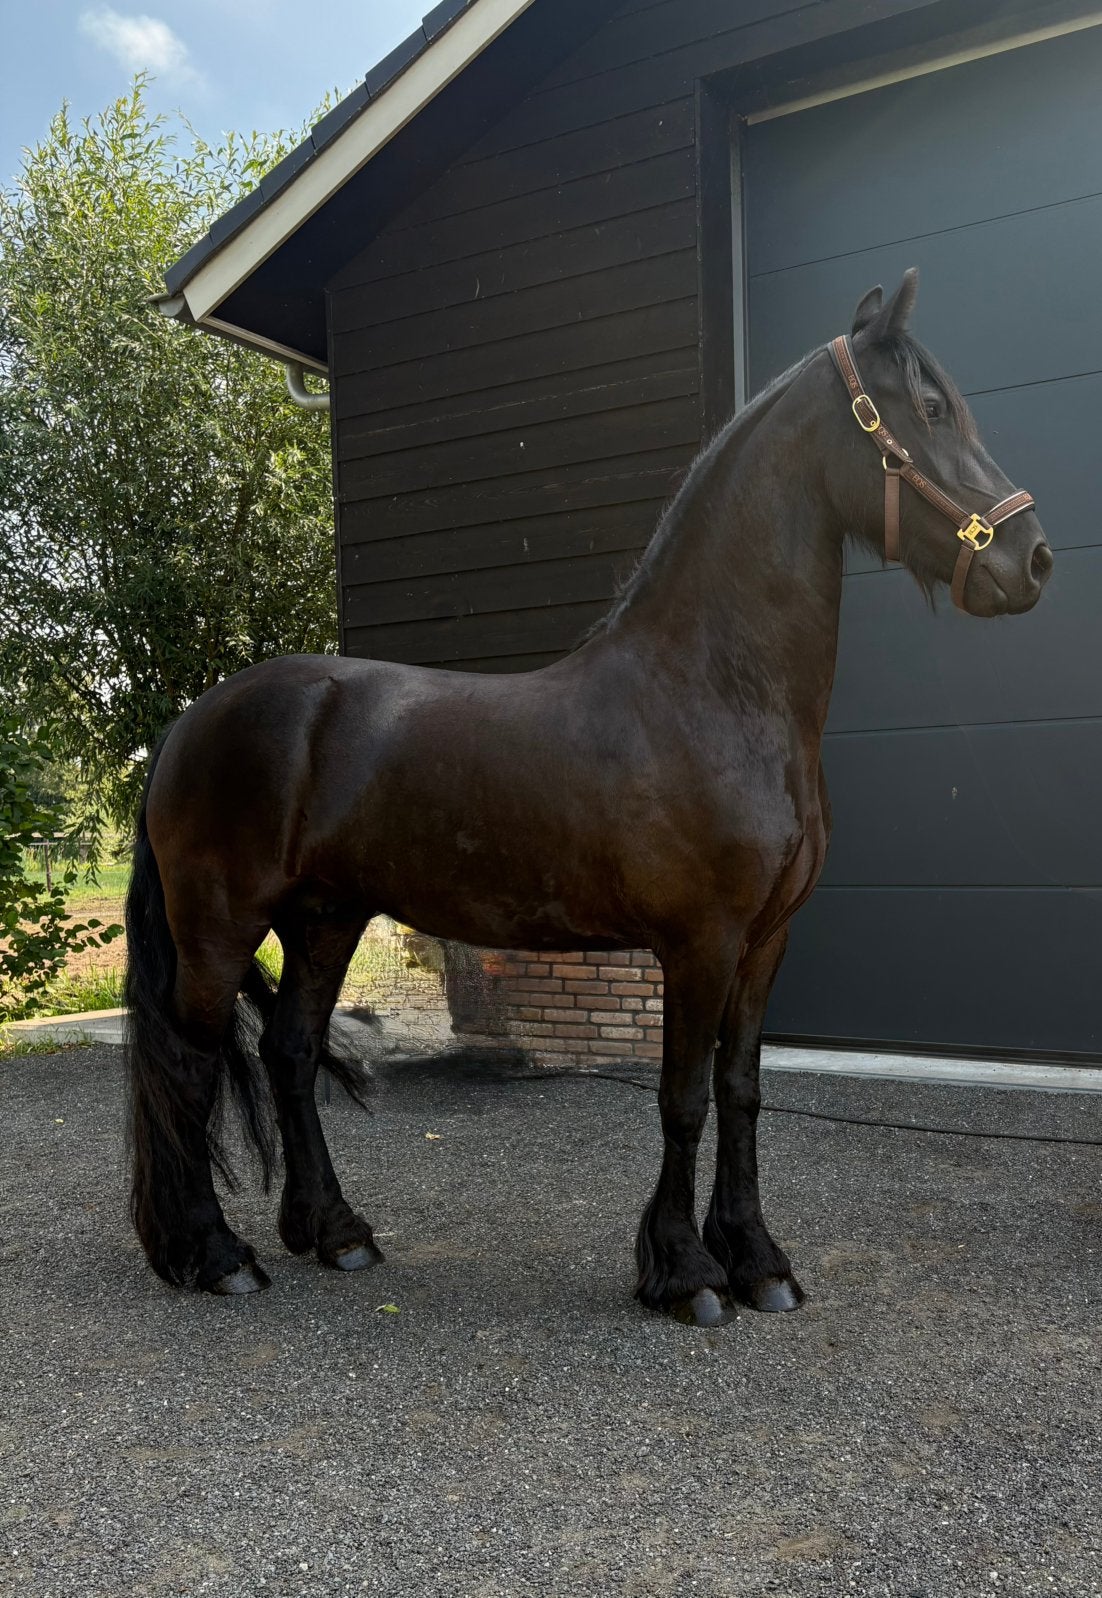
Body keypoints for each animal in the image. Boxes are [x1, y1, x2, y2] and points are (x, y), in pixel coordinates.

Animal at [125, 270, 1052, 1323]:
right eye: (929, 409)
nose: (1031, 557)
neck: (713, 689)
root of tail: (190, 723)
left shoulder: (766, 940)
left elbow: (741, 1092)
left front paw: (760, 1262)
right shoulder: (701, 940)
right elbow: (682, 1098)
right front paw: (687, 1274)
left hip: (325, 918)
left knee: (287, 1052)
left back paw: (337, 1233)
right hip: (220, 926)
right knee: (191, 1068)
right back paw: (214, 1253)